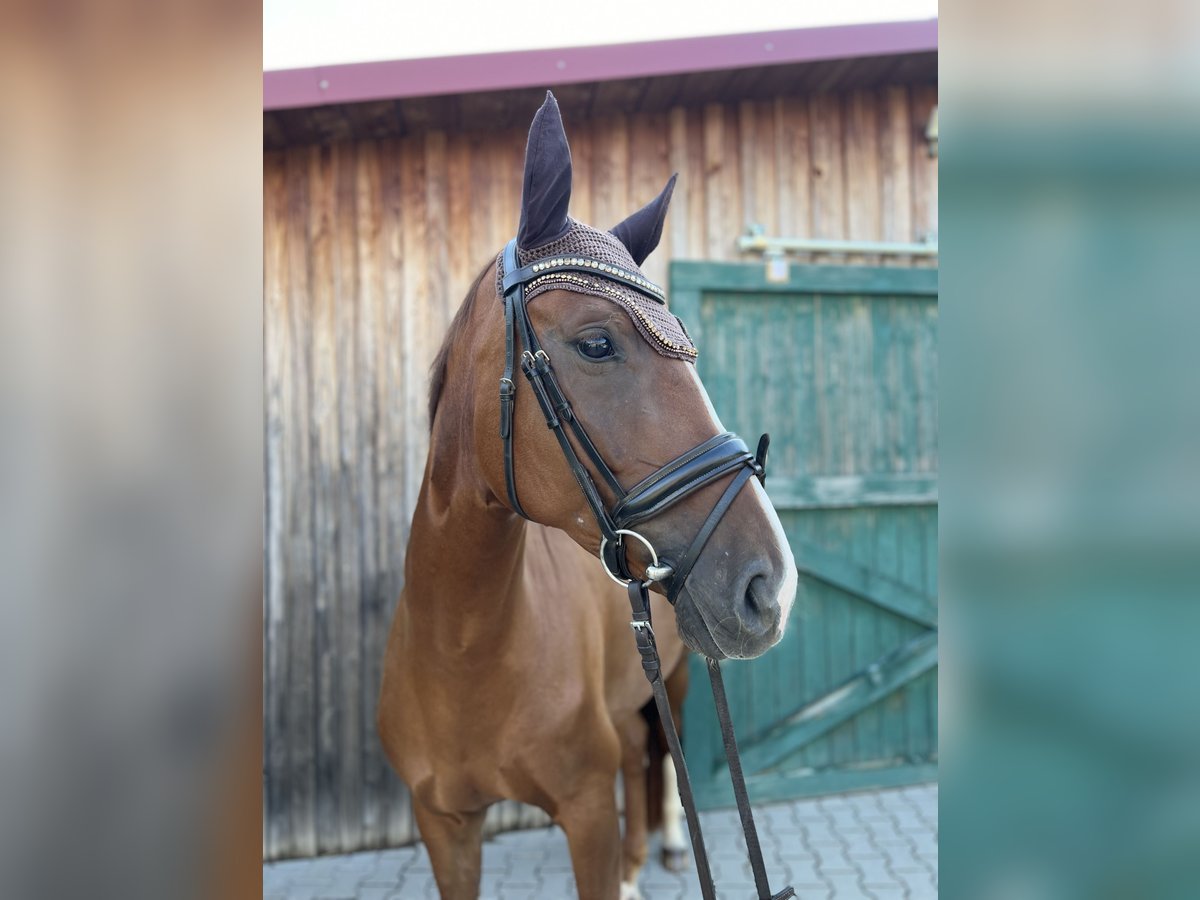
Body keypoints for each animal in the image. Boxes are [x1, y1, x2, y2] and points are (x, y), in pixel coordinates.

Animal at [379, 95, 796, 897]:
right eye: (597, 343)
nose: (772, 586)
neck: (465, 652)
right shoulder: (443, 827)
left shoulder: (586, 812)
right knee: (637, 747)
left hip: (679, 673)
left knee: (660, 746)